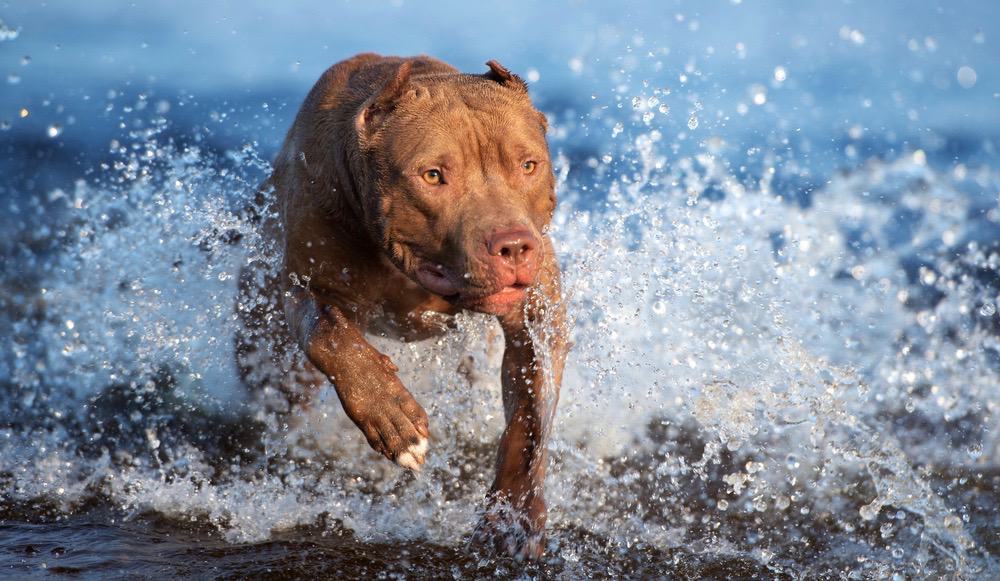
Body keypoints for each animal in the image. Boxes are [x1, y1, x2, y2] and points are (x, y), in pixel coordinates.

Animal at [231, 54, 568, 556]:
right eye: (433, 175)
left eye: (528, 165)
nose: (512, 246)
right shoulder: (304, 283)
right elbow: (328, 330)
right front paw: (390, 414)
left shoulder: (538, 316)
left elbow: (529, 421)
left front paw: (513, 515)